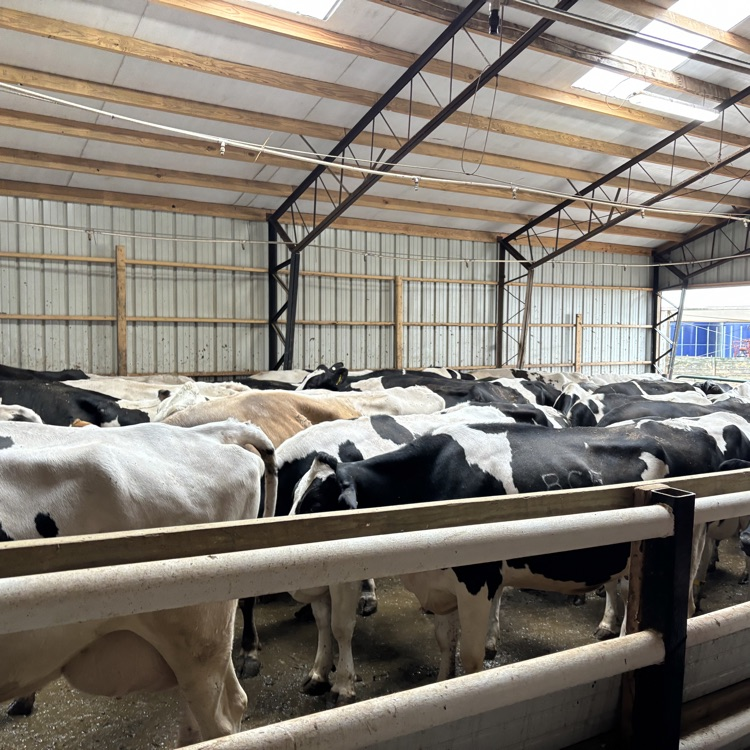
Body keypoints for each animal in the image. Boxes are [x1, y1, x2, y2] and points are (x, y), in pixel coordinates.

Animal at [287, 412, 750, 704]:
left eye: (315, 504)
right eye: (291, 498)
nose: (293, 579)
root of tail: (684, 432)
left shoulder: (477, 580)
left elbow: (473, 658)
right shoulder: (439, 585)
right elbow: (445, 645)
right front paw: (440, 686)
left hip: (688, 545)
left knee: (681, 599)